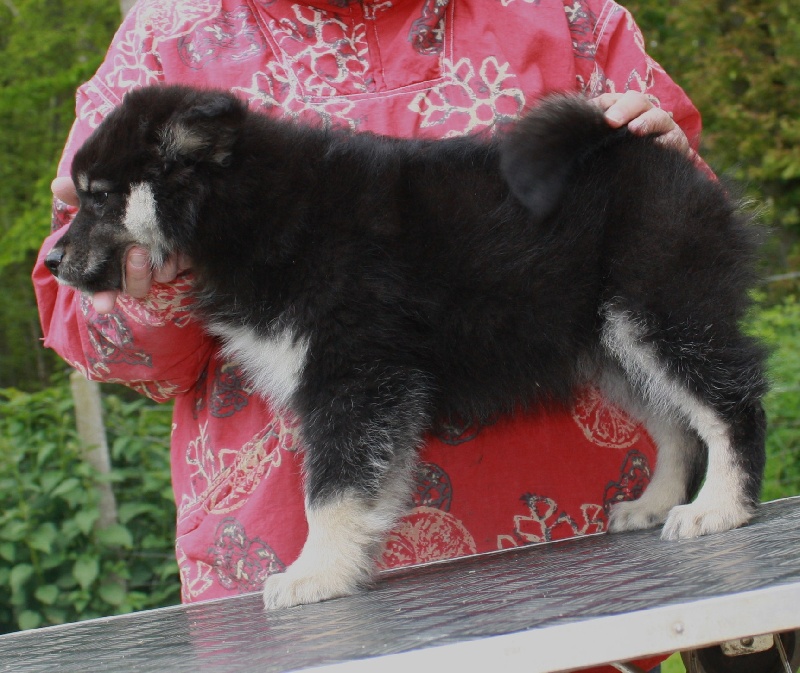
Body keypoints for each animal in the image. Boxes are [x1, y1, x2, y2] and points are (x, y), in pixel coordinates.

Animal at [45, 84, 767, 610]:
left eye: (99, 198)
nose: (50, 262)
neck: (256, 207)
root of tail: (636, 143)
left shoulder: (356, 375)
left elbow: (331, 491)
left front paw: (316, 572)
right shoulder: (363, 387)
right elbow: (363, 486)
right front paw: (347, 563)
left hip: (660, 311)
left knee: (729, 406)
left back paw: (721, 507)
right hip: (612, 347)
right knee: (676, 425)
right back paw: (659, 501)